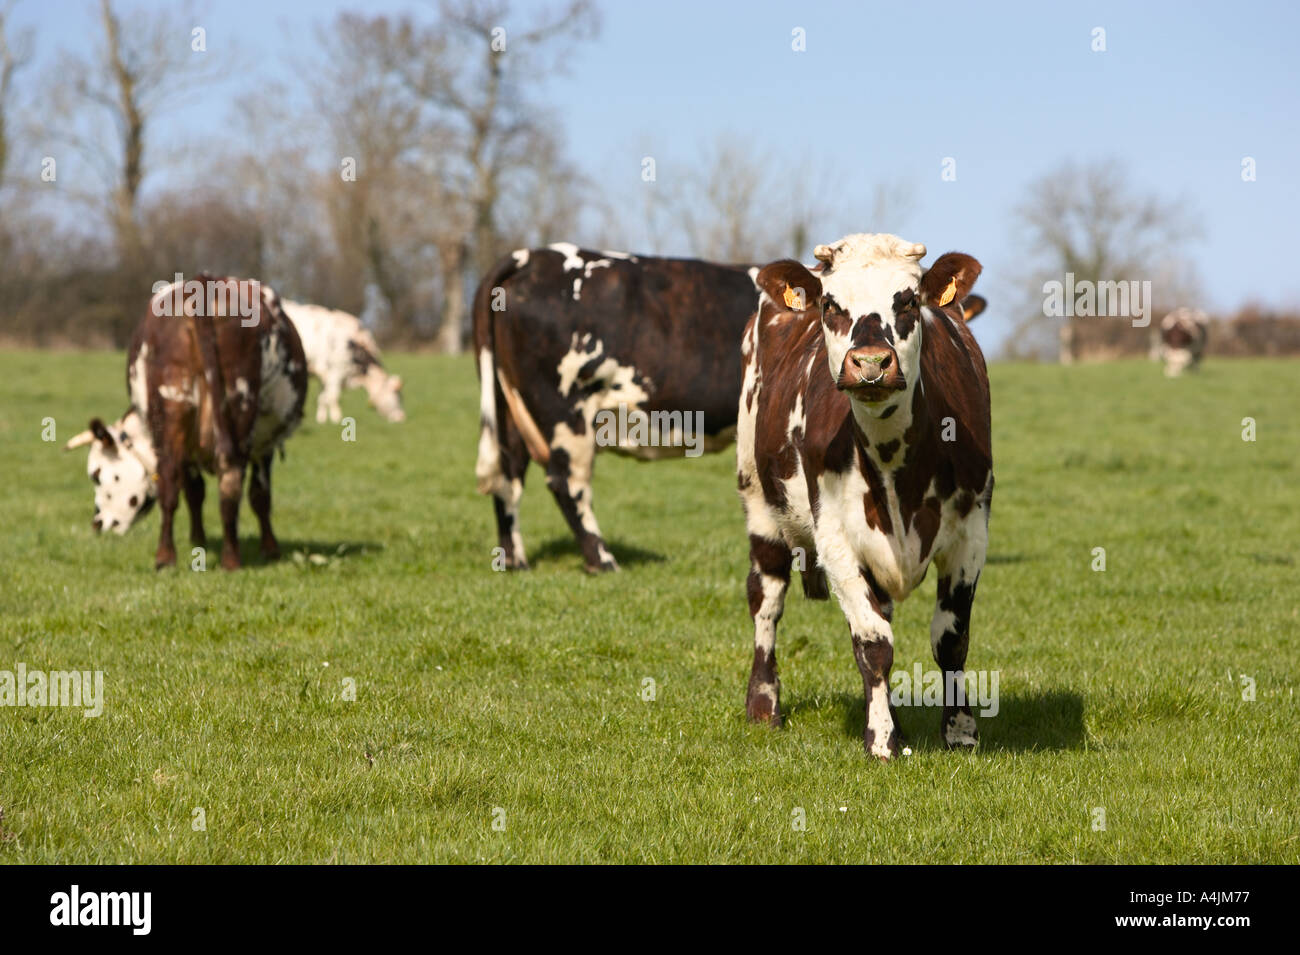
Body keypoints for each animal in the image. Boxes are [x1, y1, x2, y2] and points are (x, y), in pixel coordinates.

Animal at [65, 276, 307, 570]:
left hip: (174, 408)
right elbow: (219, 494)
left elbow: (234, 495)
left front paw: (267, 548)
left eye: (96, 475)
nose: (97, 524)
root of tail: (204, 283)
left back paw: (167, 558)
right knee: (225, 481)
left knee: (175, 482)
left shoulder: (262, 445)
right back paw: (228, 559)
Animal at [473, 242, 763, 573]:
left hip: (508, 406)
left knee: (509, 476)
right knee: (565, 482)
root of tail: (532, 256)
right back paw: (603, 561)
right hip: (565, 412)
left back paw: (515, 561)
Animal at [736, 233, 992, 760]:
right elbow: (873, 643)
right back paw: (764, 705)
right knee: (766, 600)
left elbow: (951, 639)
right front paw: (881, 739)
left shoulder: (972, 533)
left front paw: (959, 730)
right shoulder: (836, 538)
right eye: (832, 305)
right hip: (758, 501)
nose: (871, 363)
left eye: (909, 300)